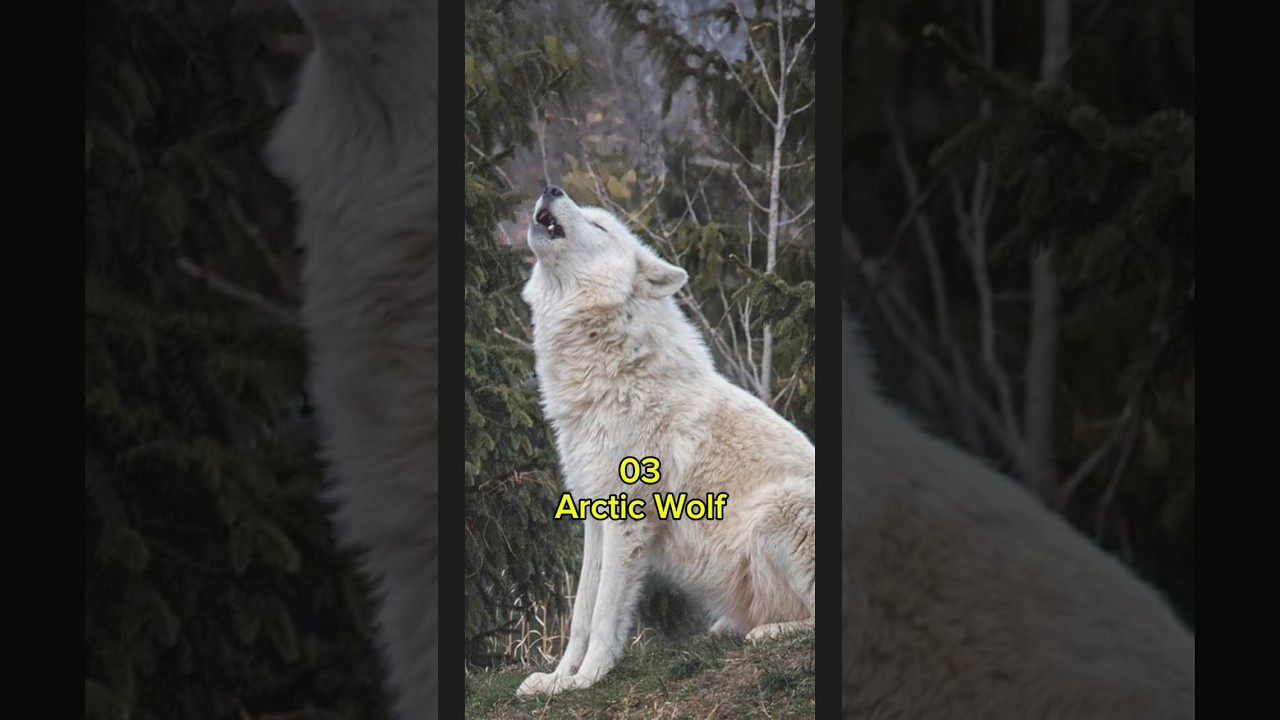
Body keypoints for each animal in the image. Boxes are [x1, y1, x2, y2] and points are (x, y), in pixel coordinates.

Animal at [515, 186, 817, 697]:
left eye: (598, 226)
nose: (552, 188)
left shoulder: (626, 520)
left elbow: (602, 614)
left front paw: (588, 679)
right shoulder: (593, 514)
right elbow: (581, 613)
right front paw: (556, 681)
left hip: (777, 509)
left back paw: (764, 633)